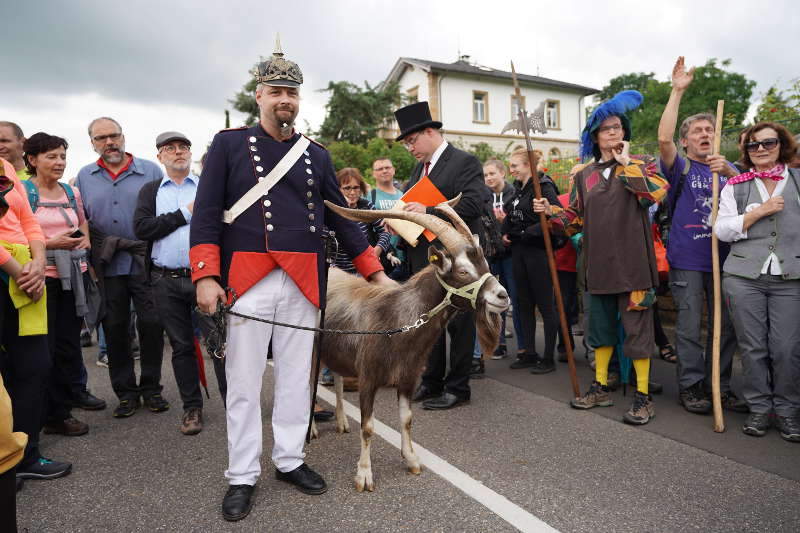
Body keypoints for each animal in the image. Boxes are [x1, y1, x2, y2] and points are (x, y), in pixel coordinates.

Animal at [312, 200, 506, 490]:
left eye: (485, 264)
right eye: (463, 271)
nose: (503, 296)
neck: (397, 320)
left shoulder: (408, 378)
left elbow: (407, 419)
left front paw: (412, 460)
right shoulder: (368, 378)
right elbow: (368, 427)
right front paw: (364, 475)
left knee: (335, 379)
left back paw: (341, 421)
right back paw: (311, 429)